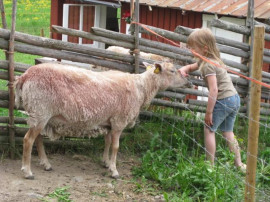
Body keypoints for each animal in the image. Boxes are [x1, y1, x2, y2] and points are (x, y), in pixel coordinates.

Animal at [14, 61, 188, 178]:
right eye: (172, 70)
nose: (189, 81)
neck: (142, 88)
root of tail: (24, 76)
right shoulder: (119, 121)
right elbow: (116, 146)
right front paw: (114, 171)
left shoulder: (109, 121)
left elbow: (108, 142)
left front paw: (106, 163)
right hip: (40, 110)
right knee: (28, 140)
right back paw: (27, 171)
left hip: (40, 113)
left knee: (37, 139)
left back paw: (46, 164)